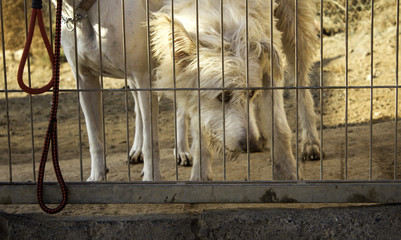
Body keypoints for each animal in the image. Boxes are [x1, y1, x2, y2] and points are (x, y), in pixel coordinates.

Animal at [56, 0, 320, 181]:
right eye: (222, 96)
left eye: (251, 93)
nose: (250, 145)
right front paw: (200, 176)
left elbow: (279, 126)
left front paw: (287, 174)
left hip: (294, 25)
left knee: (301, 85)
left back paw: (309, 142)